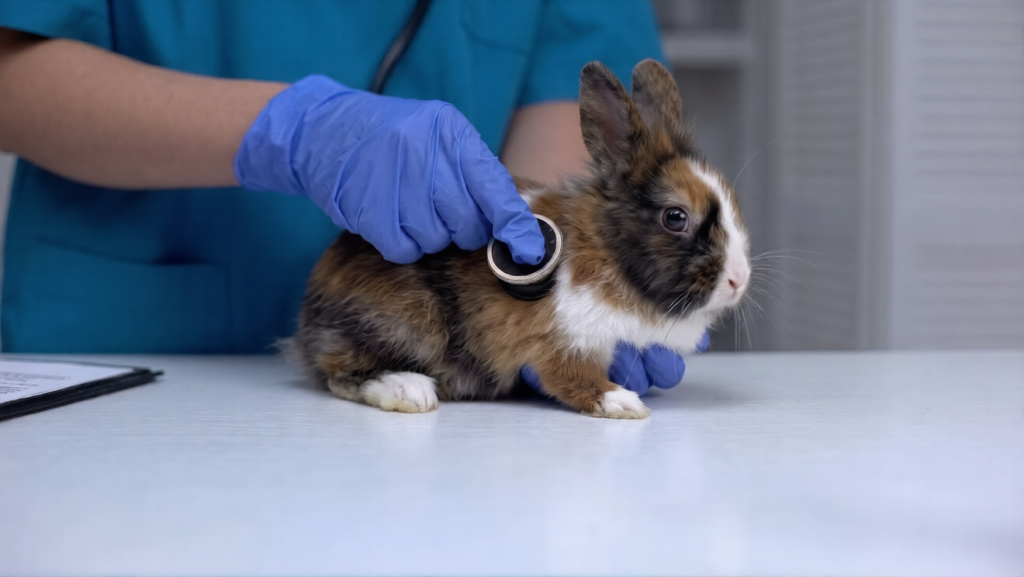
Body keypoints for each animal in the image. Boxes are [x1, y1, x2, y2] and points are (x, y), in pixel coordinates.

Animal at [287, 59, 751, 419]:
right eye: (676, 217)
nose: (738, 280)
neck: (608, 252)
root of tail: (307, 316)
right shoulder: (563, 342)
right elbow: (575, 379)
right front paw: (623, 404)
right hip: (405, 323)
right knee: (340, 374)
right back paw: (411, 391)